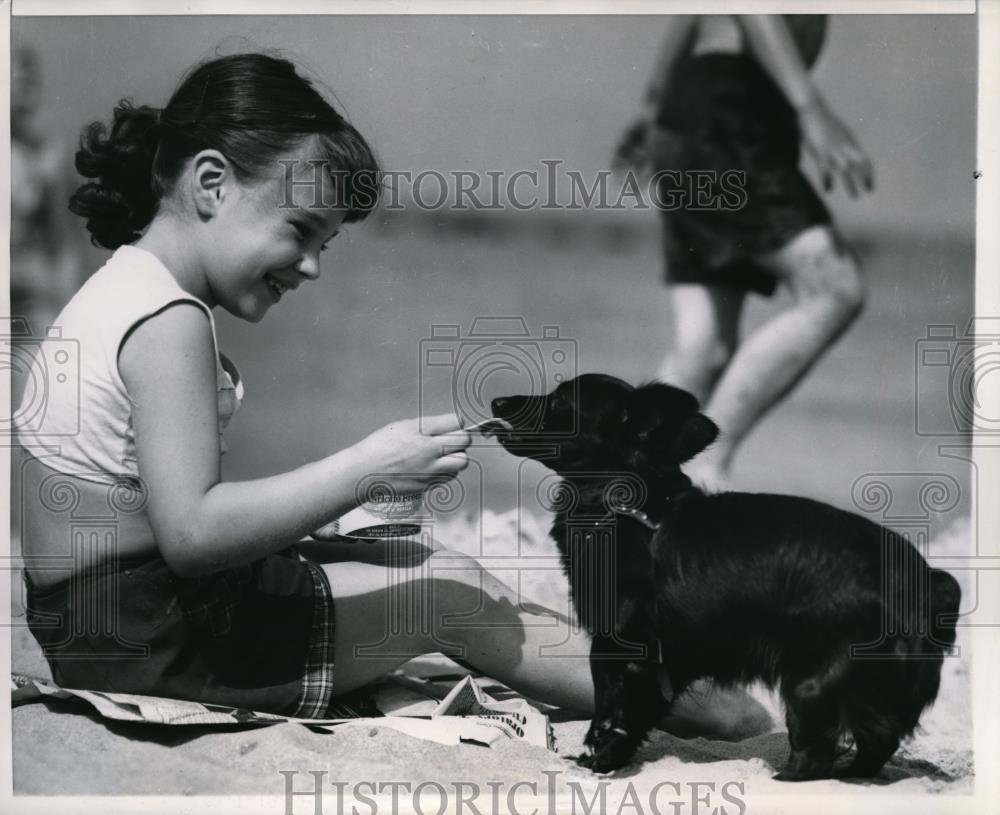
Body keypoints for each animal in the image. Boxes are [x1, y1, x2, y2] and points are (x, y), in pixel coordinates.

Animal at [492, 372, 960, 780]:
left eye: (561, 402)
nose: (497, 402)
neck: (623, 504)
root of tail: (925, 580)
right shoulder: (664, 662)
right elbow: (638, 715)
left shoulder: (620, 646)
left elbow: (610, 714)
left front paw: (597, 763)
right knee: (876, 743)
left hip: (810, 684)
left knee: (815, 757)